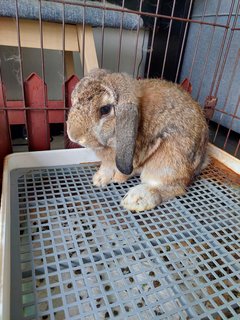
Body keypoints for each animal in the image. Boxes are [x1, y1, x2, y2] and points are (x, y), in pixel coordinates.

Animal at [67, 69, 208, 211]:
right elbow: (106, 167)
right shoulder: (109, 161)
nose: (73, 136)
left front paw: (117, 179)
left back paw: (135, 199)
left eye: (105, 109)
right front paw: (99, 180)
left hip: (168, 159)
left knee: (173, 187)